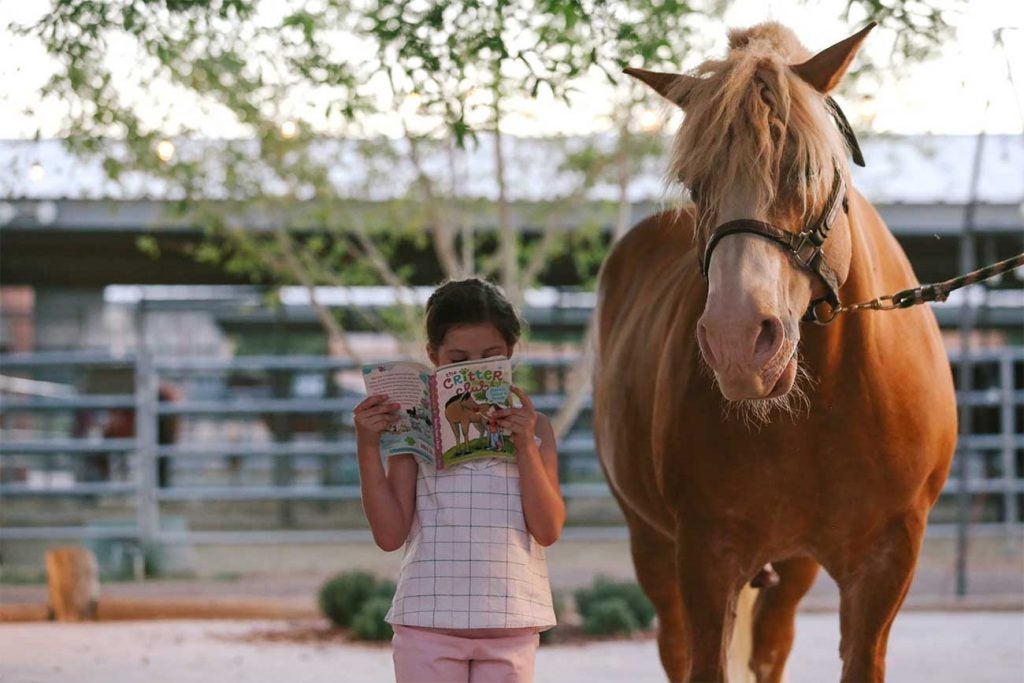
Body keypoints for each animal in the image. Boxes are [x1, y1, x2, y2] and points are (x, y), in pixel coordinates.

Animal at [593, 22, 958, 683]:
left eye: (807, 170)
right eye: (697, 186)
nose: (739, 343)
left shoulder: (887, 562)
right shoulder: (705, 556)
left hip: (793, 570)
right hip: (651, 543)